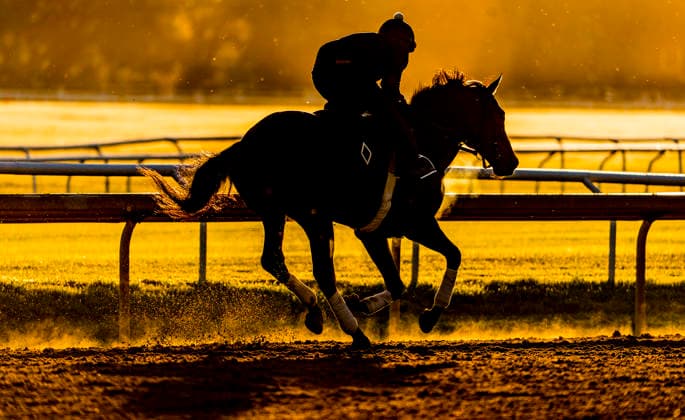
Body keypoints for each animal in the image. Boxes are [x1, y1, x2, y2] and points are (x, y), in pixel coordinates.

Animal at [143, 70, 519, 349]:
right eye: (497, 115)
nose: (510, 162)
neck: (423, 141)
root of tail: (242, 145)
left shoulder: (377, 231)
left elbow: (399, 282)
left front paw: (371, 304)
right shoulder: (413, 222)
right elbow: (451, 255)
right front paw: (425, 316)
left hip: (275, 211)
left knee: (274, 259)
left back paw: (315, 312)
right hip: (313, 215)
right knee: (322, 271)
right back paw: (355, 332)